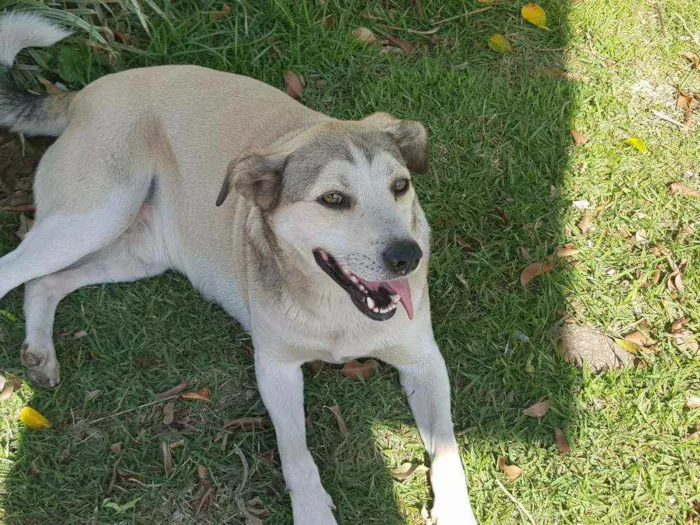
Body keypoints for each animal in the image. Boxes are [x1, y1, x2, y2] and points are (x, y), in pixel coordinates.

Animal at [0, 13, 478, 524]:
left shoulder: (424, 360)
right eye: (334, 199)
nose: (408, 257)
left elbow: (448, 450)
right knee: (13, 269)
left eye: (400, 185)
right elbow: (296, 453)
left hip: (135, 253)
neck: (335, 312)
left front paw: (456, 510)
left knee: (44, 282)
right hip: (94, 216)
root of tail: (83, 94)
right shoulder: (276, 367)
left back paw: (39, 353)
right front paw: (313, 510)